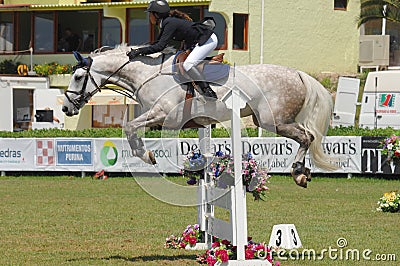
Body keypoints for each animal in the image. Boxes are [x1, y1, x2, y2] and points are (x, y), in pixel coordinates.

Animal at [61, 45, 338, 187]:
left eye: (78, 77)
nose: (66, 109)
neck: (146, 74)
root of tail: (299, 73)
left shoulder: (163, 115)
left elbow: (130, 127)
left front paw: (146, 155)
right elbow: (133, 128)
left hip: (274, 121)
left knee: (307, 137)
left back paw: (298, 172)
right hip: (269, 120)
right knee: (308, 137)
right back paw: (304, 172)